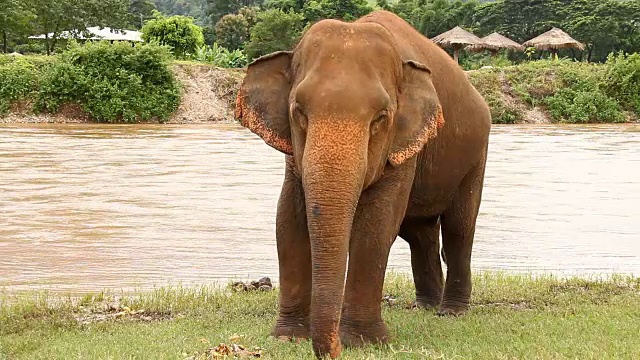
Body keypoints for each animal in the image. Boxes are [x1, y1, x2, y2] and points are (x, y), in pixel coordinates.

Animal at [235, 9, 490, 358]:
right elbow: (287, 218)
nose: (333, 349)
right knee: (420, 233)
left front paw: (362, 342)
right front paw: (288, 338)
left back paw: (451, 311)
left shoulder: (401, 144)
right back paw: (425, 306)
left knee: (459, 228)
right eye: (299, 112)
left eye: (381, 118)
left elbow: (376, 225)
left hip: (475, 156)